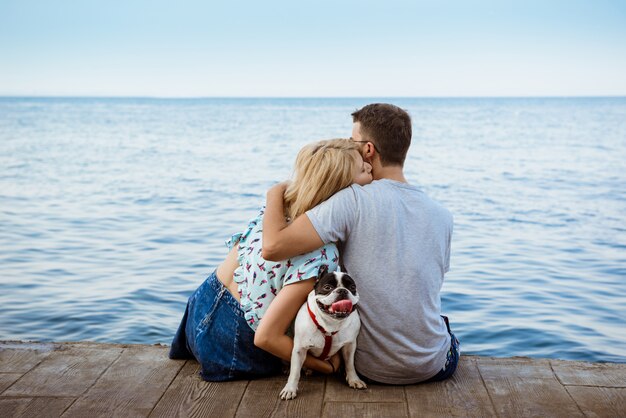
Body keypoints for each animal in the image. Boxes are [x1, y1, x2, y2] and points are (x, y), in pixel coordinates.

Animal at [280, 266, 366, 400]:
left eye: (352, 287)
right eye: (327, 287)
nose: (342, 291)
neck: (330, 325)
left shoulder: (350, 345)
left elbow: (350, 364)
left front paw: (354, 379)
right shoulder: (300, 349)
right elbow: (295, 372)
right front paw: (290, 388)